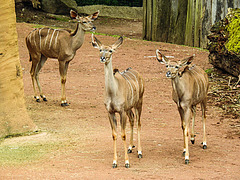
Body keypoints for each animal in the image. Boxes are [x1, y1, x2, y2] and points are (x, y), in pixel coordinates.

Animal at [92, 34, 144, 167]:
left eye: (110, 50)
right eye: (100, 49)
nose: (102, 58)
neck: (112, 92)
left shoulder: (121, 111)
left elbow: (123, 134)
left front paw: (126, 162)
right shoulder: (110, 112)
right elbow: (114, 134)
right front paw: (115, 162)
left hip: (139, 103)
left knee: (138, 123)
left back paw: (139, 152)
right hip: (129, 108)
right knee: (132, 119)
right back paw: (130, 147)